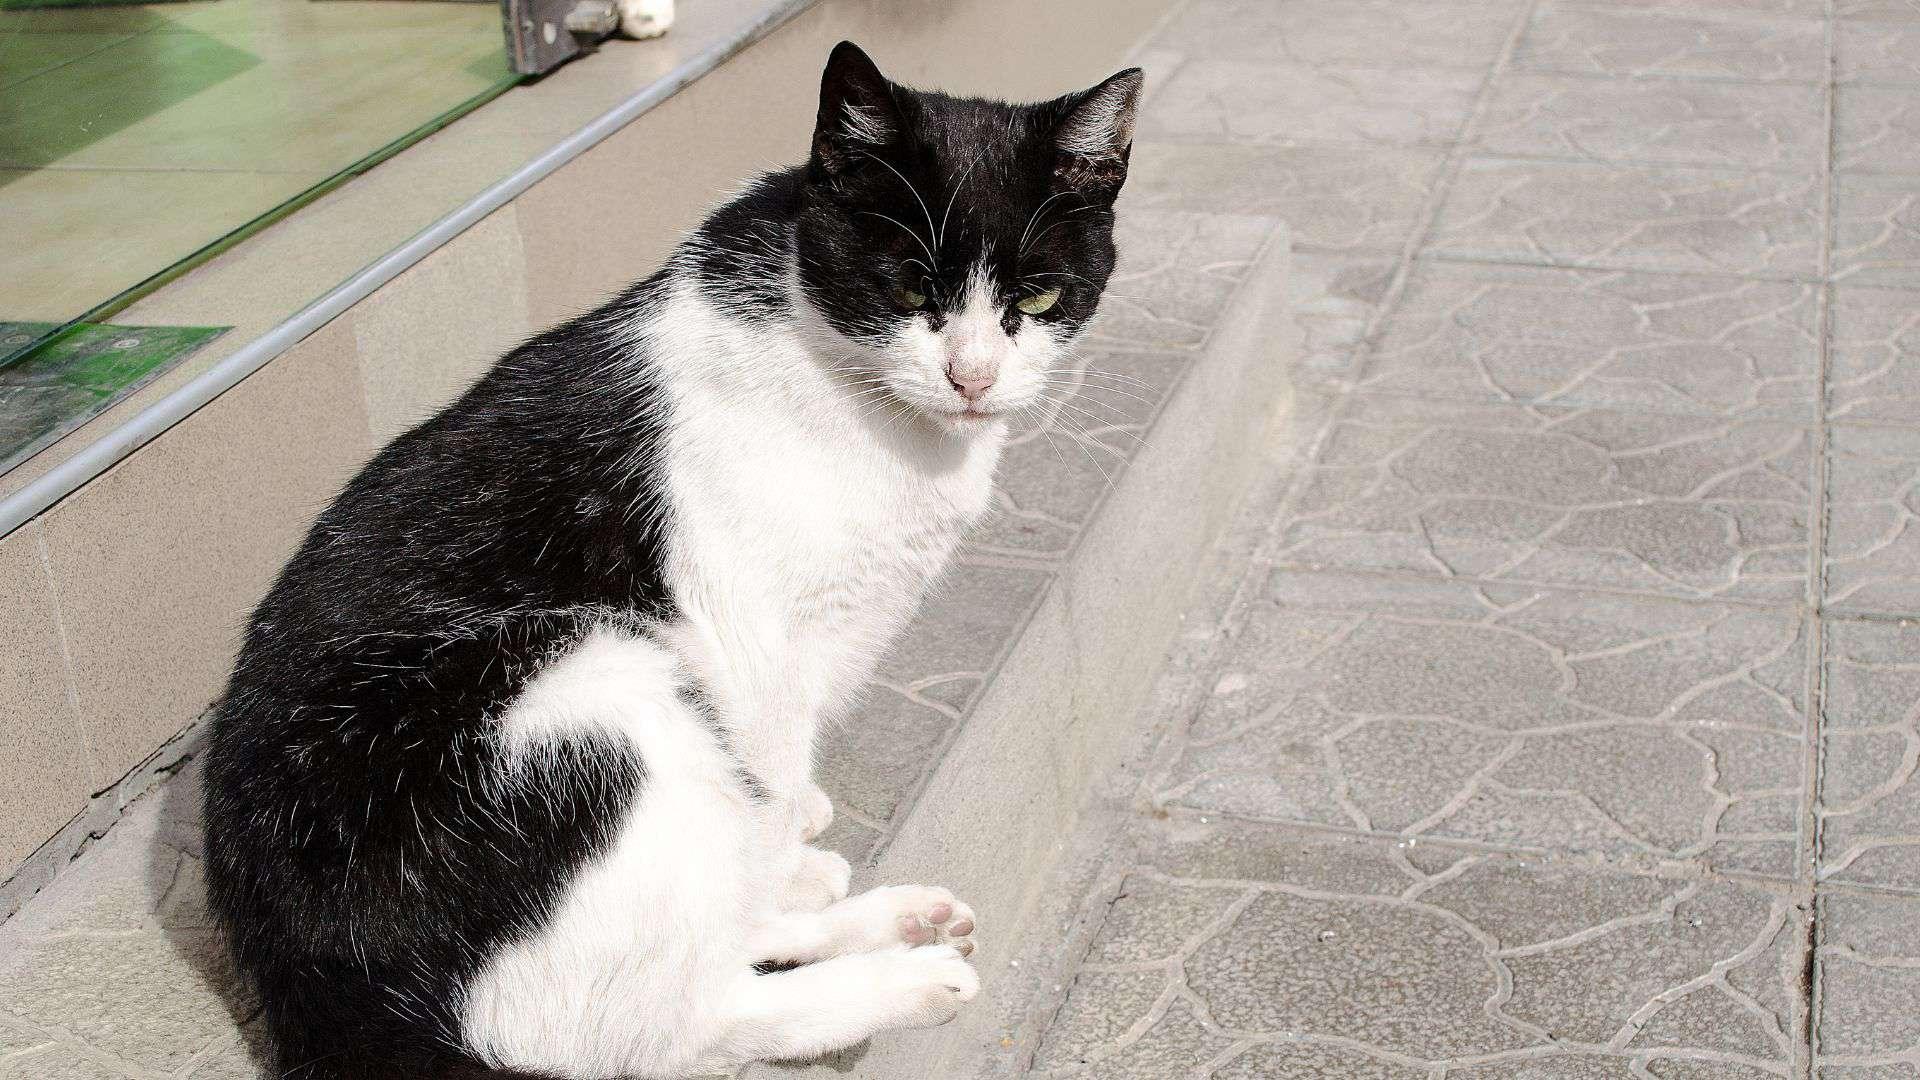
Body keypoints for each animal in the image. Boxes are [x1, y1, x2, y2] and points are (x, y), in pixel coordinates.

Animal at [206, 42, 1136, 1076]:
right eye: (908, 290)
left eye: (1038, 297)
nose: (972, 376)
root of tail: (301, 980)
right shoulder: (748, 629)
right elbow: (768, 773)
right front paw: (786, 847)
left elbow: (769, 798)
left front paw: (790, 840)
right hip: (595, 681)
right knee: (676, 1020)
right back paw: (906, 976)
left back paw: (876, 912)